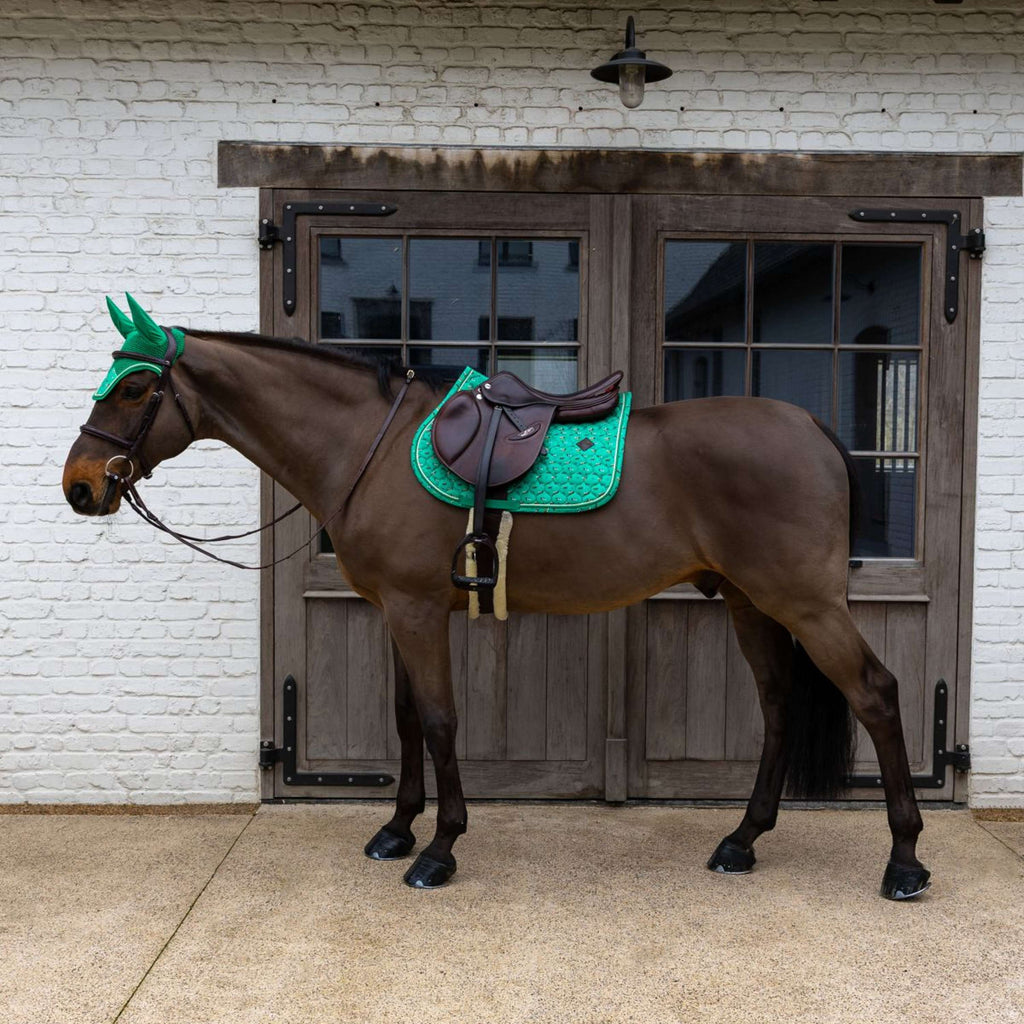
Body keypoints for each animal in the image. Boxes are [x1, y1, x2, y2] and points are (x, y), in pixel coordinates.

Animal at [62, 296, 930, 899]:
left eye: (134, 387)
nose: (79, 485)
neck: (369, 446)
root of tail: (814, 429)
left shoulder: (417, 612)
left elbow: (442, 720)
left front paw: (440, 850)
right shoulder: (395, 611)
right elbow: (407, 721)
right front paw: (396, 830)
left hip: (806, 604)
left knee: (878, 694)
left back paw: (904, 860)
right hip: (752, 601)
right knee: (780, 705)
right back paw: (742, 841)